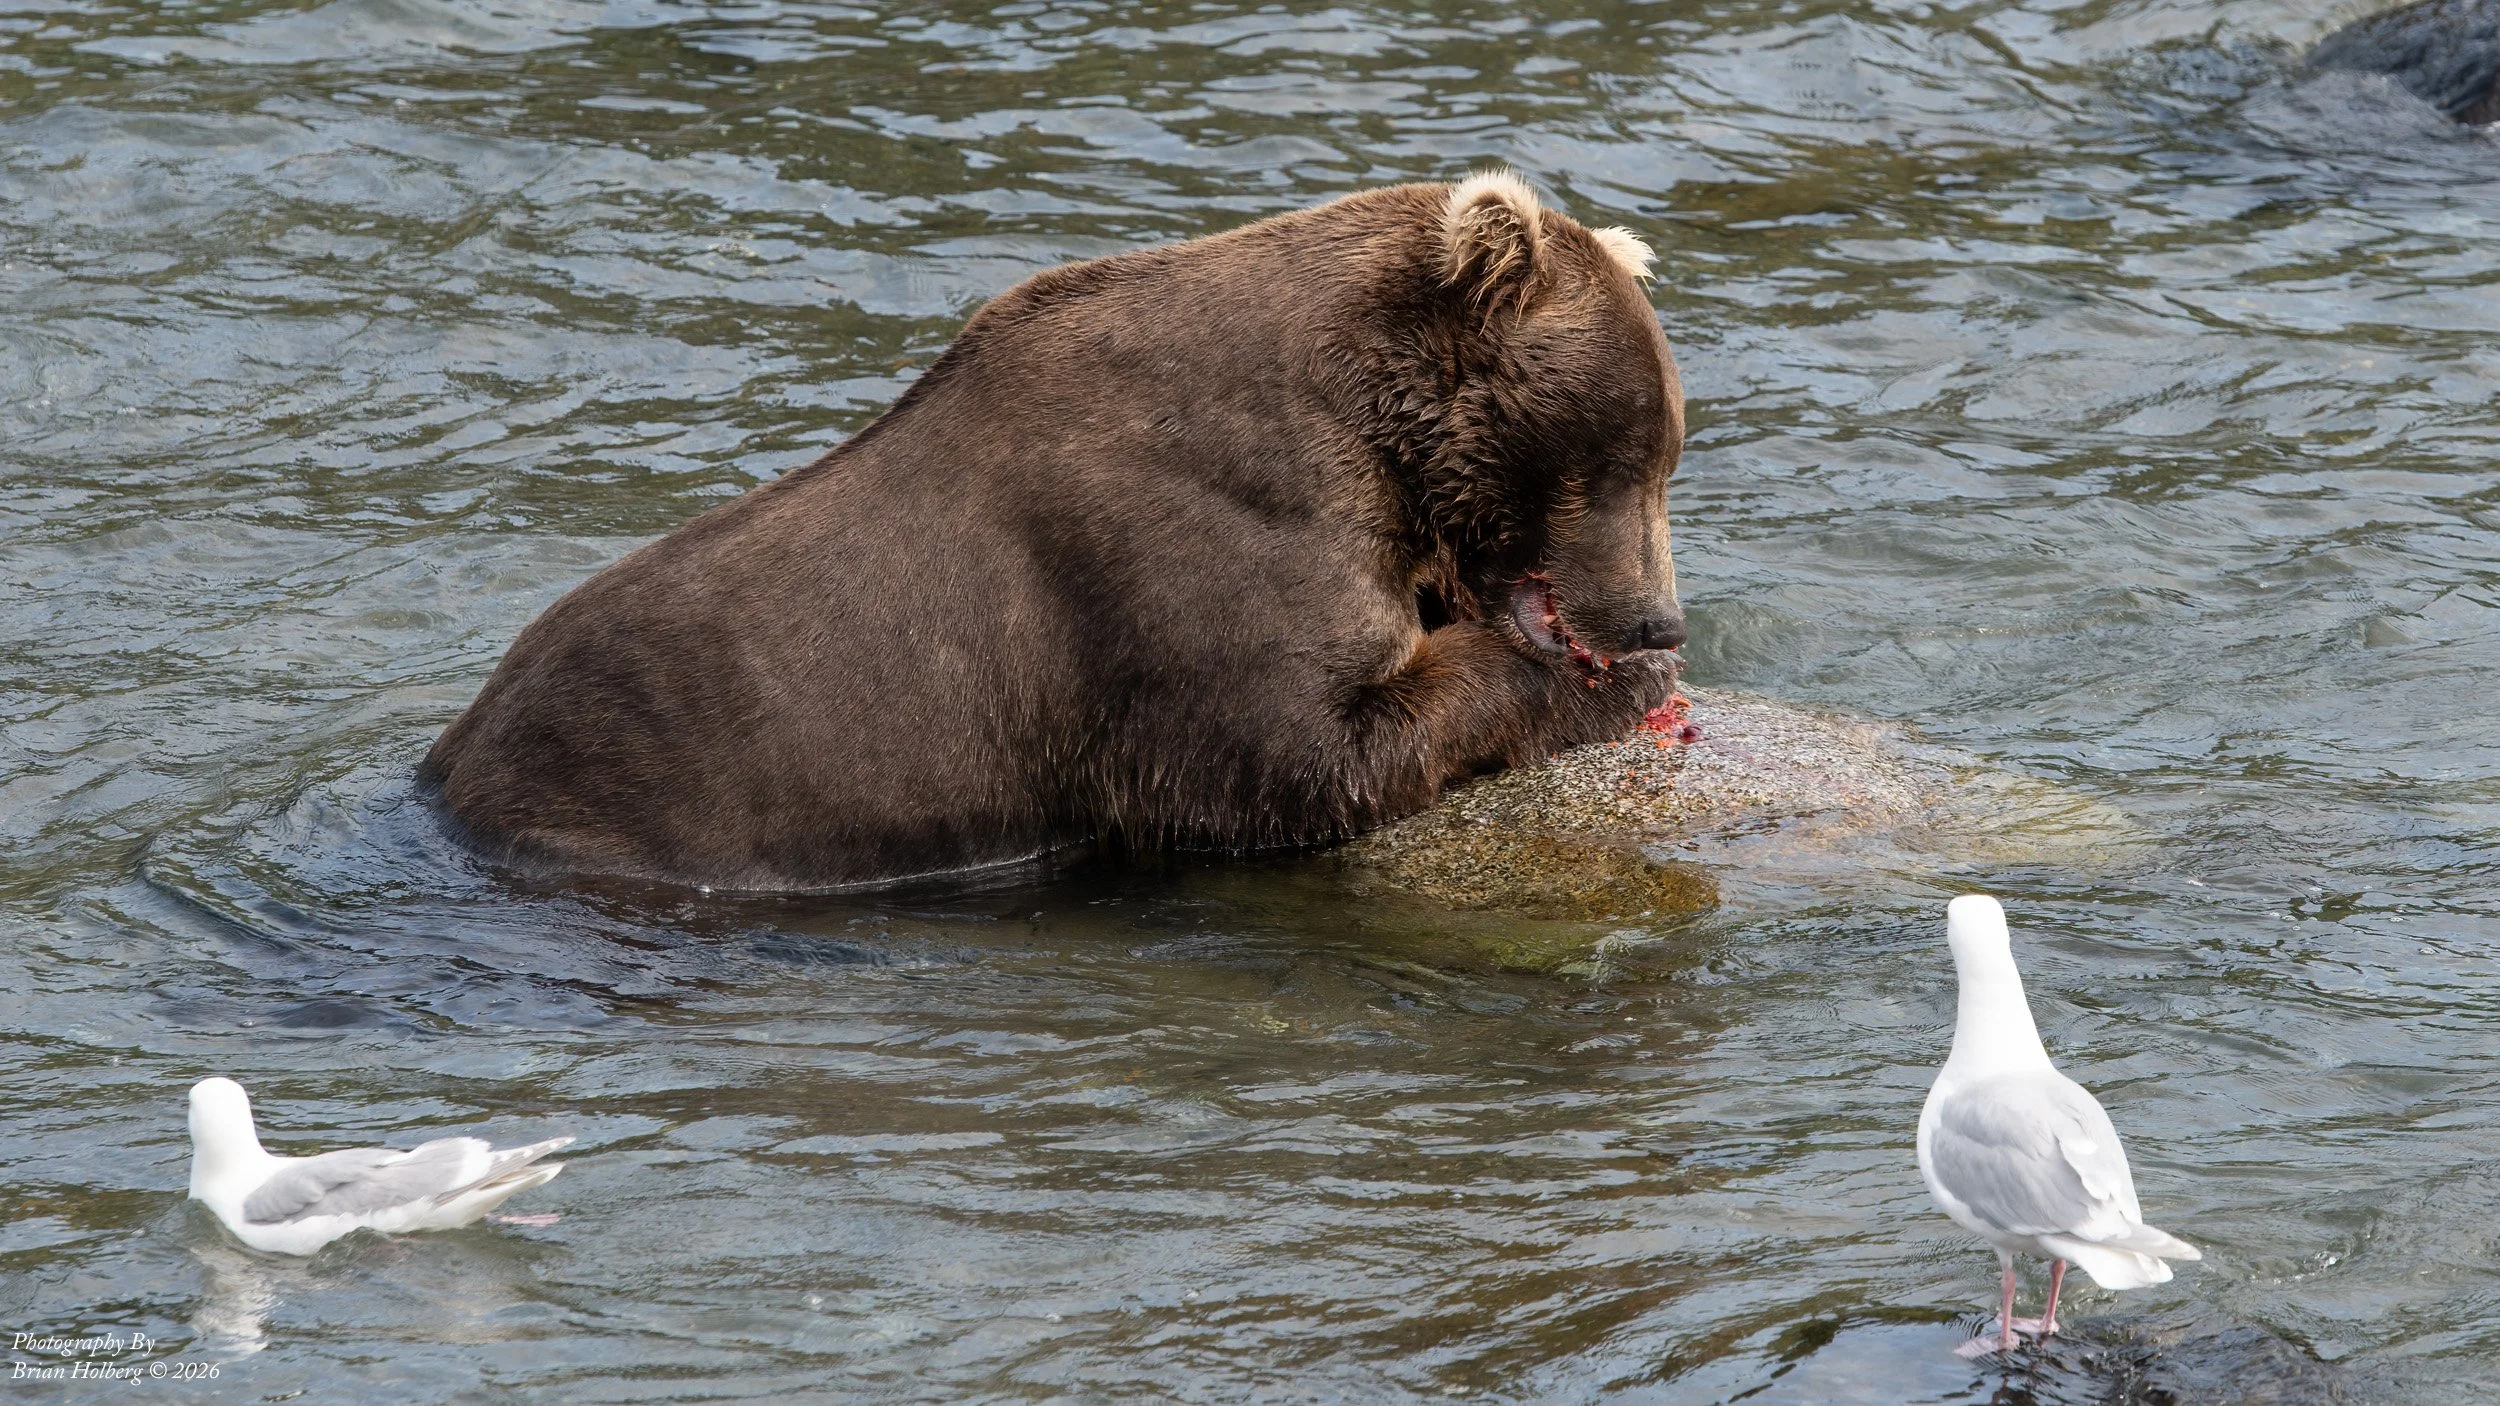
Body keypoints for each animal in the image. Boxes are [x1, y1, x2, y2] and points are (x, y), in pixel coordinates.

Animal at [418, 173, 1689, 891]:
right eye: (1629, 452)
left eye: (1667, 449)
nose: (1657, 617)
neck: (1366, 434)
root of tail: (446, 779)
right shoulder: (1180, 558)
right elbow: (1302, 754)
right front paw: (1594, 684)